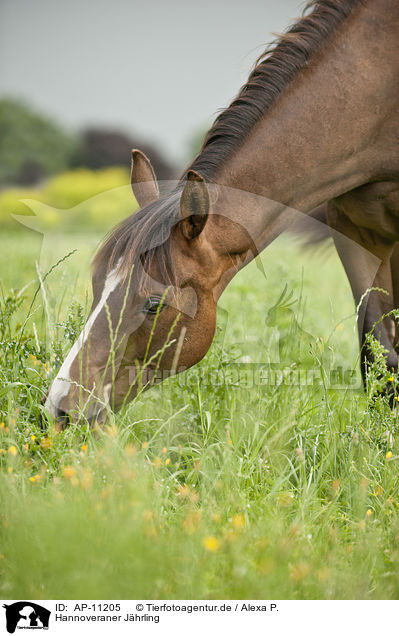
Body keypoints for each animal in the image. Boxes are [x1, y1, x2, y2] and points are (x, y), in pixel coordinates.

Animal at [45, 0, 399, 424]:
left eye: (154, 304)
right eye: (98, 284)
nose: (61, 407)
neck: (376, 94)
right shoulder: (356, 232)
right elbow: (378, 356)